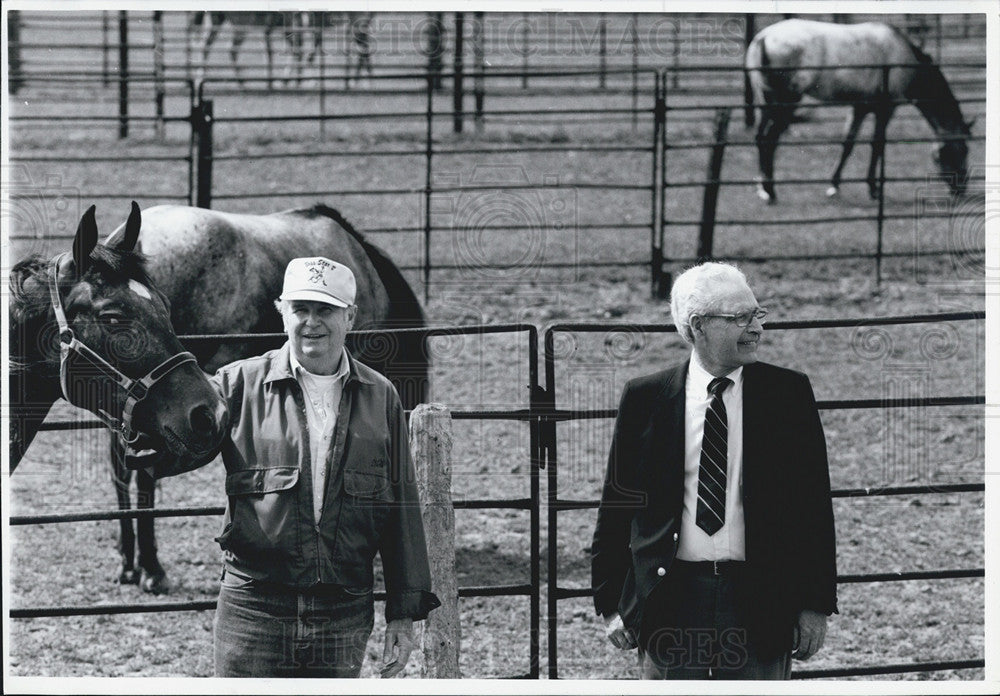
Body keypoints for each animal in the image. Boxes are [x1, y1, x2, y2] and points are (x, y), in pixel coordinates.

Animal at [748, 19, 972, 203]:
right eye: (962, 150)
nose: (961, 190)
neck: (904, 56)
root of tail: (764, 38)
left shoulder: (860, 108)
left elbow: (848, 144)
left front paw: (834, 185)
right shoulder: (885, 110)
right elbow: (877, 145)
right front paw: (873, 189)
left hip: (765, 102)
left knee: (760, 137)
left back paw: (761, 188)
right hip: (786, 103)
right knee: (771, 139)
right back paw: (770, 190)